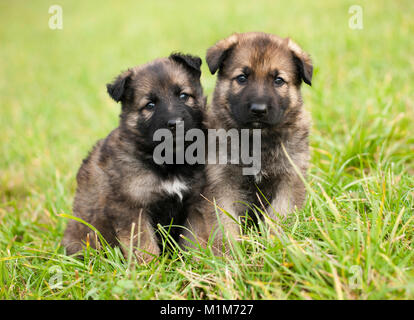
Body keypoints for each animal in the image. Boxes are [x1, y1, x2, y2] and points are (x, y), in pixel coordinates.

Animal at [61, 53, 207, 262]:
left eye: (183, 95)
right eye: (150, 105)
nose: (175, 123)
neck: (169, 160)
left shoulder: (194, 203)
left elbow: (194, 241)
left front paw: (198, 263)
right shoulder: (131, 209)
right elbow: (145, 246)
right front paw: (150, 268)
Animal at [183, 31, 312, 254]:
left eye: (278, 80)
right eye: (242, 78)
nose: (258, 110)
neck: (257, 139)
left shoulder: (289, 179)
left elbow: (278, 215)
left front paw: (274, 245)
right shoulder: (221, 182)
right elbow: (224, 223)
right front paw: (229, 254)